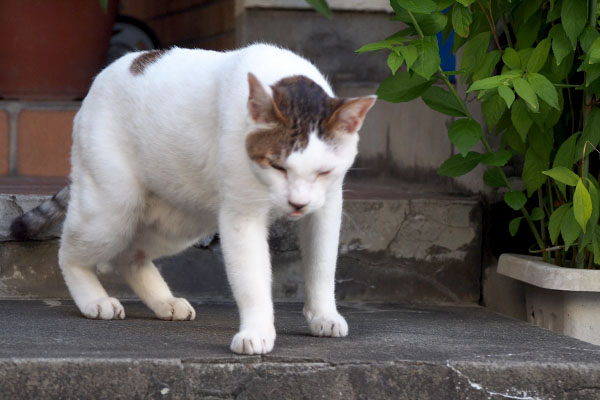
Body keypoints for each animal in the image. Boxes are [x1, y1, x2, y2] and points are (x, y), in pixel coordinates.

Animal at [12, 43, 376, 354]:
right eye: (278, 166)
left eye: (323, 172)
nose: (298, 204)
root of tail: (102, 76)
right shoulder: (241, 217)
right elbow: (253, 280)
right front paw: (257, 332)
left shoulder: (327, 207)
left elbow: (322, 266)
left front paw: (323, 315)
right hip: (113, 207)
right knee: (70, 253)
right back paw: (94, 300)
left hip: (180, 220)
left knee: (129, 256)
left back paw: (165, 302)